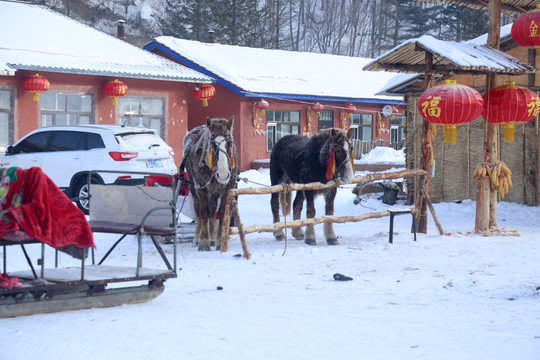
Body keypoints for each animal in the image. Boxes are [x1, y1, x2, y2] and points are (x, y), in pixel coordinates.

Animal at [181, 117, 236, 250]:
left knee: (212, 210)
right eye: (212, 144)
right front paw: (203, 242)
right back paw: (197, 238)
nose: (223, 174)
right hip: (194, 187)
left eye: (229, 143)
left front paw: (219, 241)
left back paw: (212, 237)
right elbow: (204, 212)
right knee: (198, 210)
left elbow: (221, 213)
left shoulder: (226, 189)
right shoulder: (202, 189)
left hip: (214, 191)